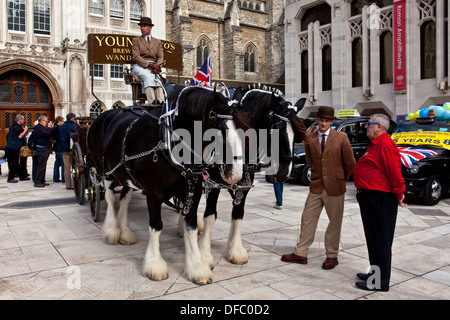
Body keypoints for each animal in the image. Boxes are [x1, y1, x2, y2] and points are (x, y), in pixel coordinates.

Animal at [87, 85, 250, 284]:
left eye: (244, 129)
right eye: (222, 128)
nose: (236, 174)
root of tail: (106, 114)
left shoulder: (193, 191)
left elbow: (191, 226)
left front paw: (197, 267)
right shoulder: (153, 193)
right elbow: (156, 226)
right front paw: (154, 265)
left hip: (126, 174)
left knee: (125, 197)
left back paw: (125, 233)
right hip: (106, 170)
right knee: (110, 197)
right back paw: (111, 231)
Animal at [195, 89, 308, 268]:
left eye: (296, 134)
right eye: (275, 128)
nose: (284, 173)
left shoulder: (244, 186)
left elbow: (238, 214)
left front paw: (235, 250)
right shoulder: (213, 184)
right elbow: (210, 216)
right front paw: (205, 254)